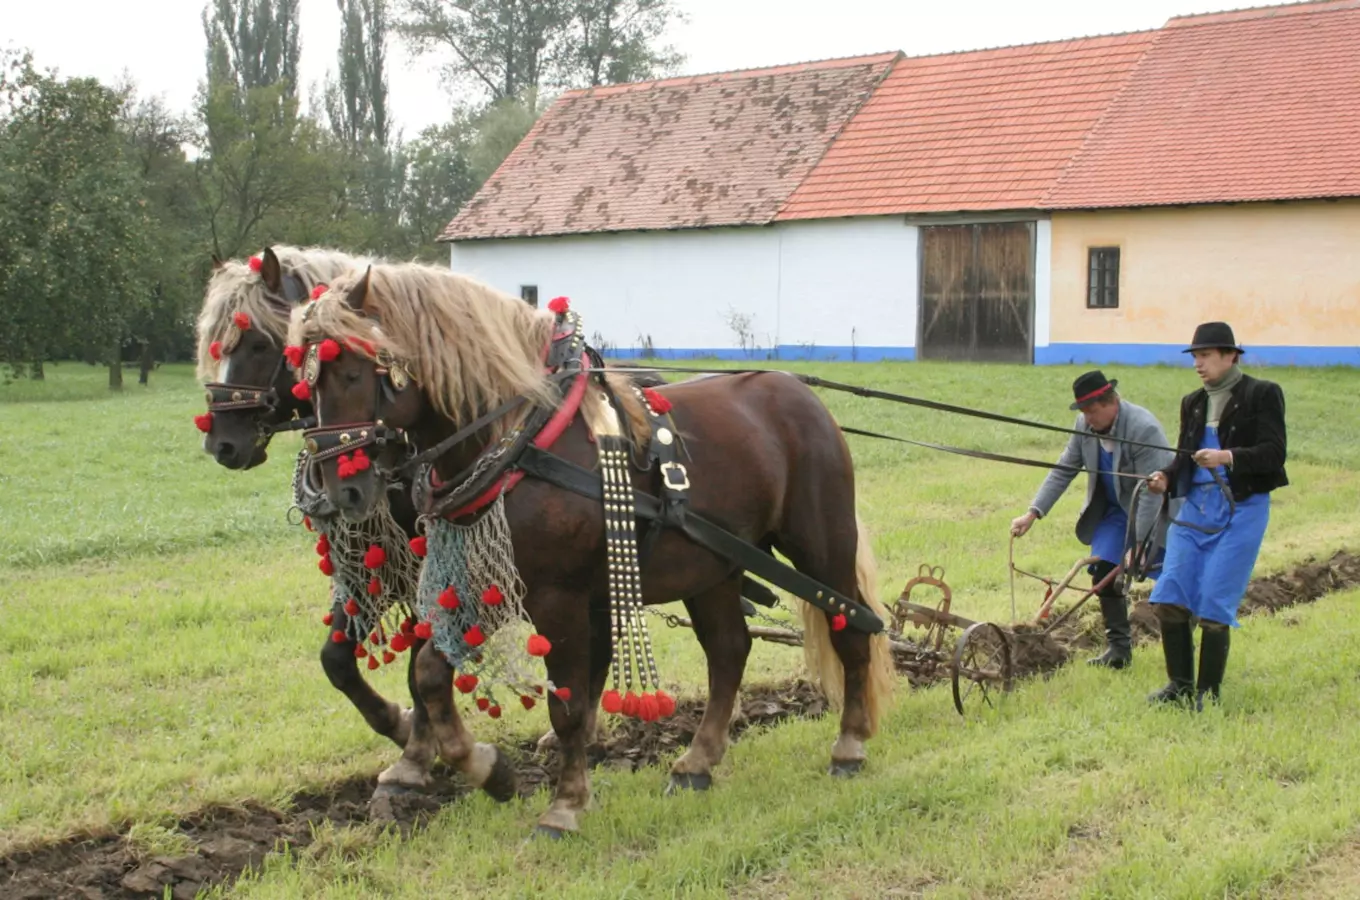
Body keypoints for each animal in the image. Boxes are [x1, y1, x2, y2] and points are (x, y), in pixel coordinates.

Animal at [286, 261, 892, 837]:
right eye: (305, 387)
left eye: (355, 371)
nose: (342, 491)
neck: (520, 439)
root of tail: (801, 394)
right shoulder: (489, 580)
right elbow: (432, 673)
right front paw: (489, 771)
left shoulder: (559, 598)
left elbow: (569, 705)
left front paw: (565, 806)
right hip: (714, 566)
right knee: (729, 649)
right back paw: (696, 762)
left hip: (821, 542)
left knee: (852, 626)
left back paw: (849, 745)